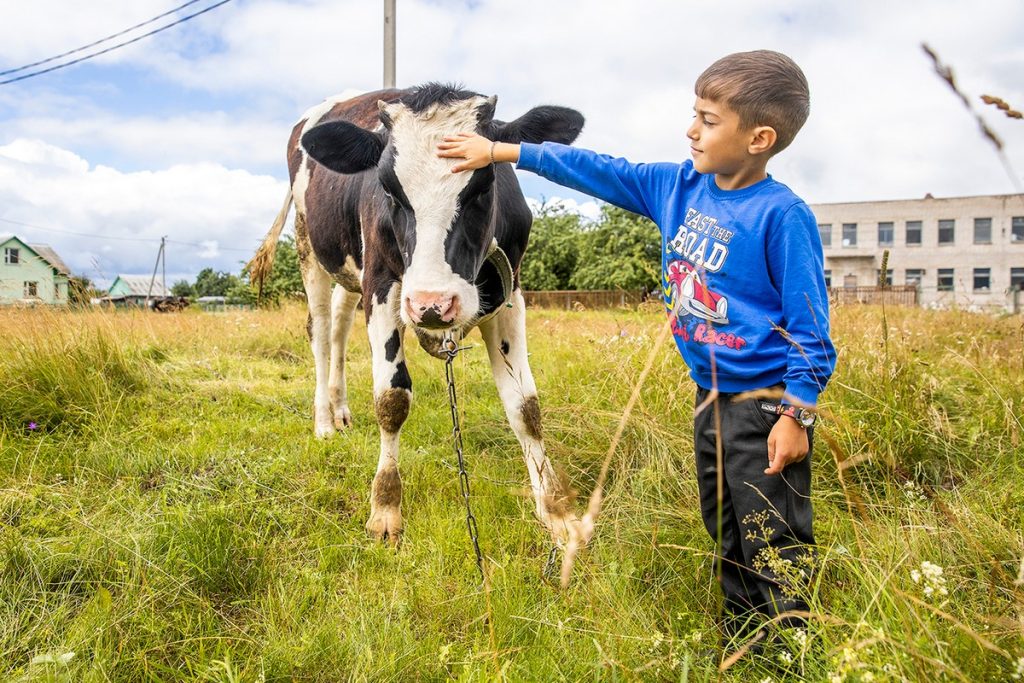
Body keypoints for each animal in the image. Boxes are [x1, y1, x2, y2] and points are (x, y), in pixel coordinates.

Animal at [251, 85, 593, 552]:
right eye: (389, 190)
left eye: (484, 184)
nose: (433, 304)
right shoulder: (382, 287)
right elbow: (392, 399)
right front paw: (385, 508)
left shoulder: (511, 292)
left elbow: (525, 406)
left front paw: (556, 511)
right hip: (311, 248)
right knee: (320, 331)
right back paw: (323, 421)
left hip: (350, 272)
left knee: (339, 323)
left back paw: (341, 410)